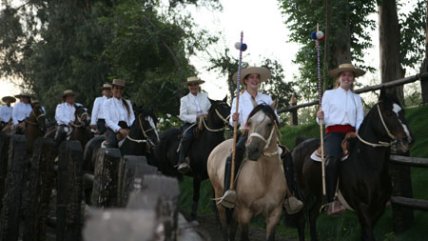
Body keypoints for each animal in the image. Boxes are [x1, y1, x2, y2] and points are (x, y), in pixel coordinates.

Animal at [208, 104, 288, 241]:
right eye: (249, 122)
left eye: (269, 124)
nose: (252, 150)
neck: (265, 177)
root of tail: (215, 150)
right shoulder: (245, 213)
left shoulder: (274, 214)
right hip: (220, 199)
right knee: (224, 225)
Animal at [292, 93, 412, 241]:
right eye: (388, 113)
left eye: (402, 111)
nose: (407, 139)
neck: (366, 163)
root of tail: (299, 145)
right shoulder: (362, 206)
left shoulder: (379, 208)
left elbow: (365, 234)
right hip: (303, 194)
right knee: (301, 220)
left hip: (319, 196)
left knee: (312, 215)